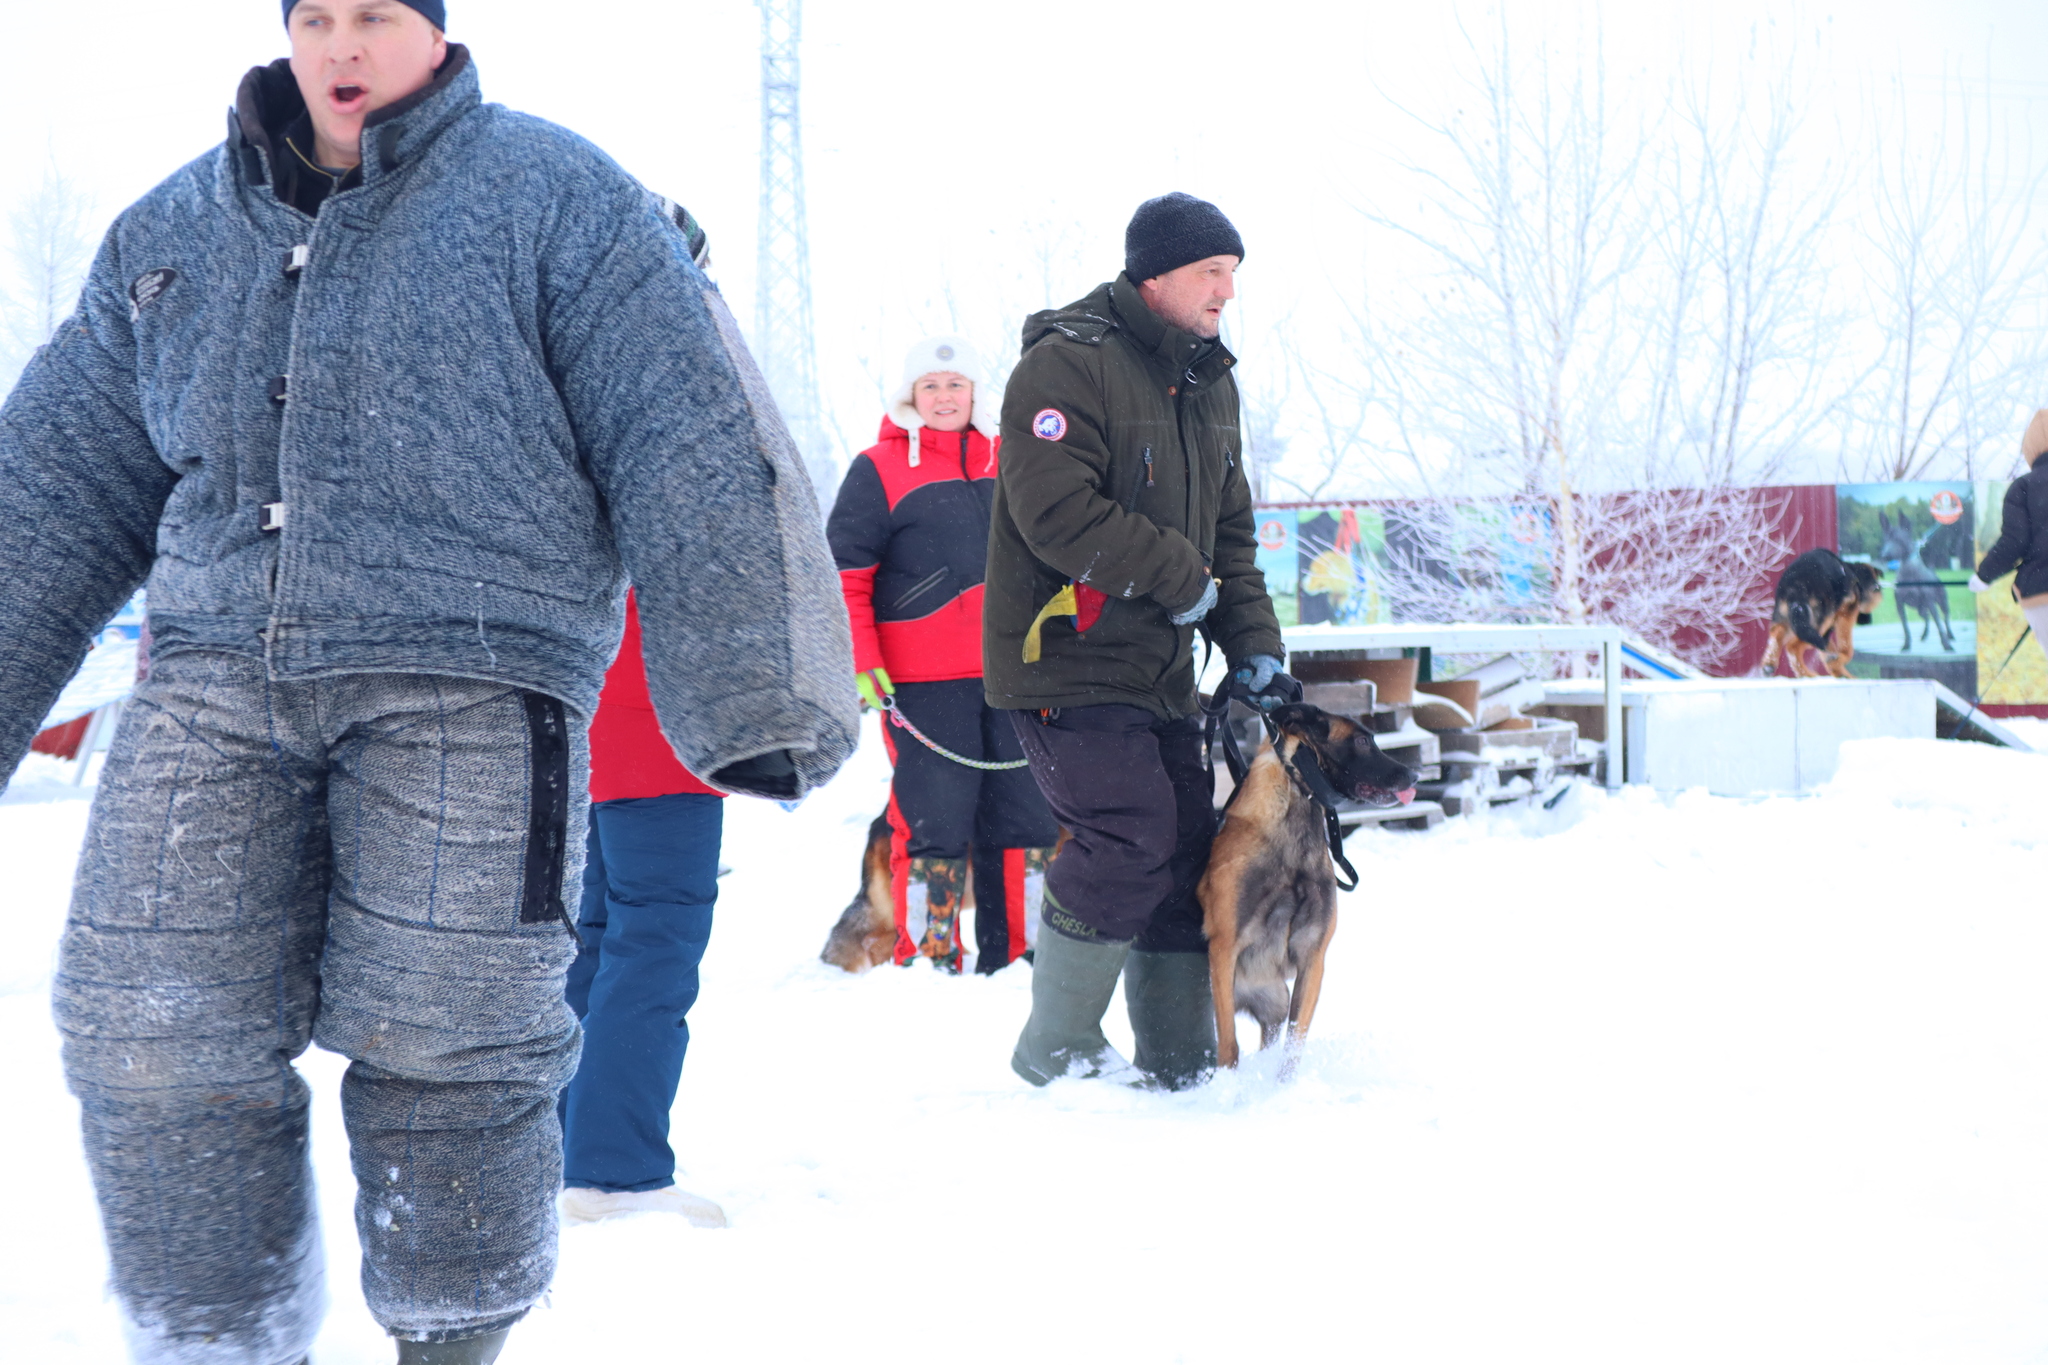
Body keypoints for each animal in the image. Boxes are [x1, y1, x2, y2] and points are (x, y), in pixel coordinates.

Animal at [1196, 703, 1409, 1064]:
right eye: (1363, 741)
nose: (1414, 775)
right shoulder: (1224, 949)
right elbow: (1229, 1046)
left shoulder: (1313, 955)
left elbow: (1293, 1047)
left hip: (1274, 1002)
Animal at [1761, 548, 1884, 679]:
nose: (1869, 621)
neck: (1856, 578)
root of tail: (1795, 584)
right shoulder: (1845, 616)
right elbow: (1846, 648)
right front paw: (1837, 661)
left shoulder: (1827, 631)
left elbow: (1829, 651)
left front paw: (1840, 671)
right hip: (1820, 621)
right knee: (1792, 647)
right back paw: (1806, 674)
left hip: (1791, 619)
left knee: (1777, 633)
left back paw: (1772, 665)